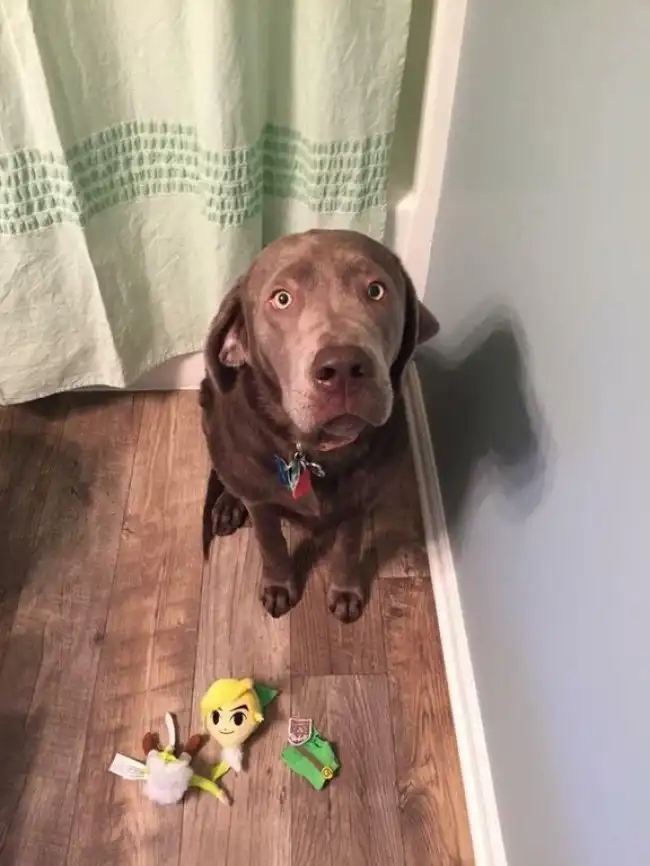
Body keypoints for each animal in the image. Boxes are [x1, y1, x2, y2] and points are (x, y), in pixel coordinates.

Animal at [199, 229, 439, 623]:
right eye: (281, 298)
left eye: (376, 290)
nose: (342, 366)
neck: (316, 453)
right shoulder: (262, 504)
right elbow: (271, 543)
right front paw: (279, 586)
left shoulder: (360, 499)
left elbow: (349, 545)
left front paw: (345, 591)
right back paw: (228, 504)